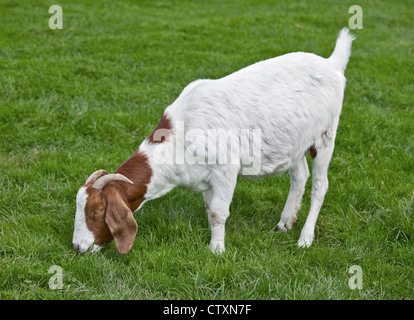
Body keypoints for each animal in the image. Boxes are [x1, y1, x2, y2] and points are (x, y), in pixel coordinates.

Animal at [73, 28, 354, 255]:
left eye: (96, 210)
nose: (77, 246)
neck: (179, 138)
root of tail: (331, 63)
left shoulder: (225, 169)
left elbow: (219, 212)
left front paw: (216, 250)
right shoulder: (204, 177)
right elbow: (210, 210)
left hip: (326, 135)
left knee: (320, 185)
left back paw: (305, 238)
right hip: (294, 142)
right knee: (299, 176)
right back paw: (285, 222)